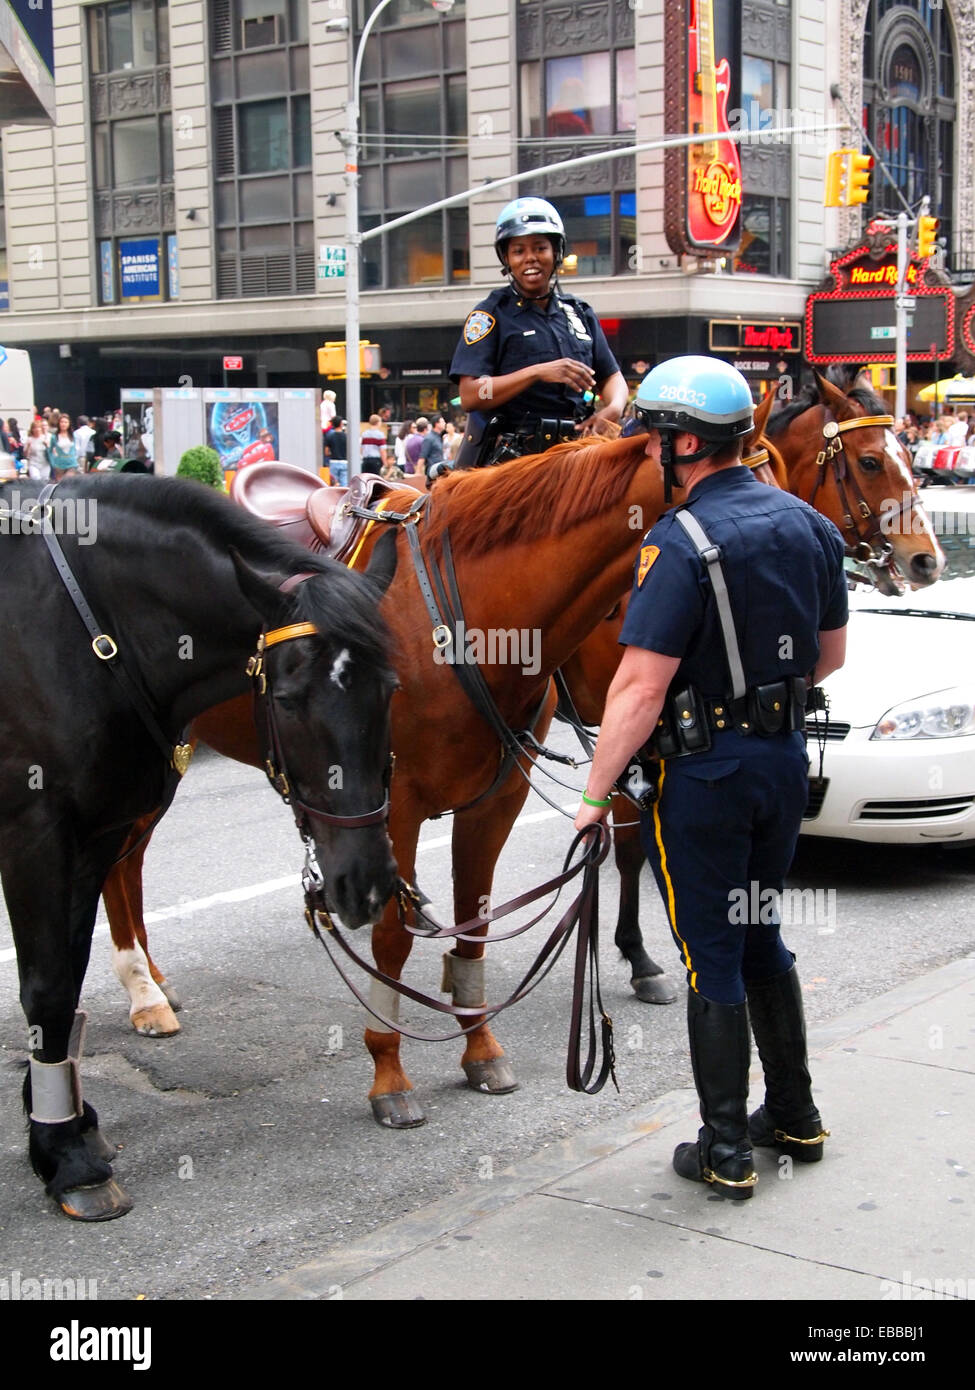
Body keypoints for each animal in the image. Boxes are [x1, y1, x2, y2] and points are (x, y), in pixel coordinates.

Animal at [0, 475, 400, 1217]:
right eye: (291, 698)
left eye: (389, 689)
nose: (365, 883)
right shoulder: (35, 835)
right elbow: (46, 986)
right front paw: (64, 1153)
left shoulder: (94, 836)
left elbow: (69, 971)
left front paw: (65, 1120)